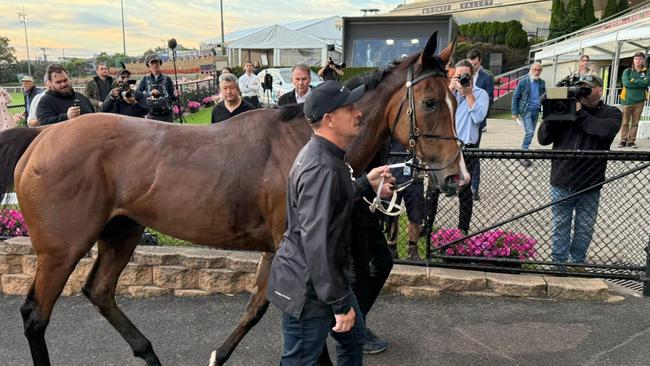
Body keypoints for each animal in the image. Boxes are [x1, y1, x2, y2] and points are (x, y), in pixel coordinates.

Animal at [0, 33, 460, 364]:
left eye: (458, 96)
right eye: (430, 101)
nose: (457, 176)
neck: (305, 141)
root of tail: (41, 137)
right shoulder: (291, 246)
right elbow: (279, 310)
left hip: (121, 229)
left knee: (99, 290)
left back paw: (148, 353)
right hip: (62, 248)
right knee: (36, 315)